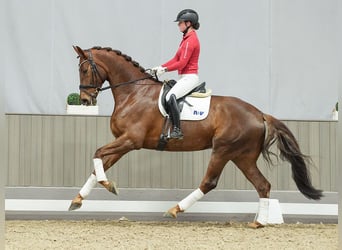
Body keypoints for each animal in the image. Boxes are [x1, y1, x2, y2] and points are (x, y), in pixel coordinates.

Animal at [69, 45, 324, 229]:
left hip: (223, 150)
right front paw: (78, 199)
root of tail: (260, 113)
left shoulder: (131, 141)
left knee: (209, 182)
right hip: (242, 156)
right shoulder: (123, 143)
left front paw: (108, 186)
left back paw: (175, 209)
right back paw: (259, 222)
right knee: (263, 184)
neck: (135, 92)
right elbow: (98, 165)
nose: (85, 100)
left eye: (84, 70)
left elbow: (97, 154)